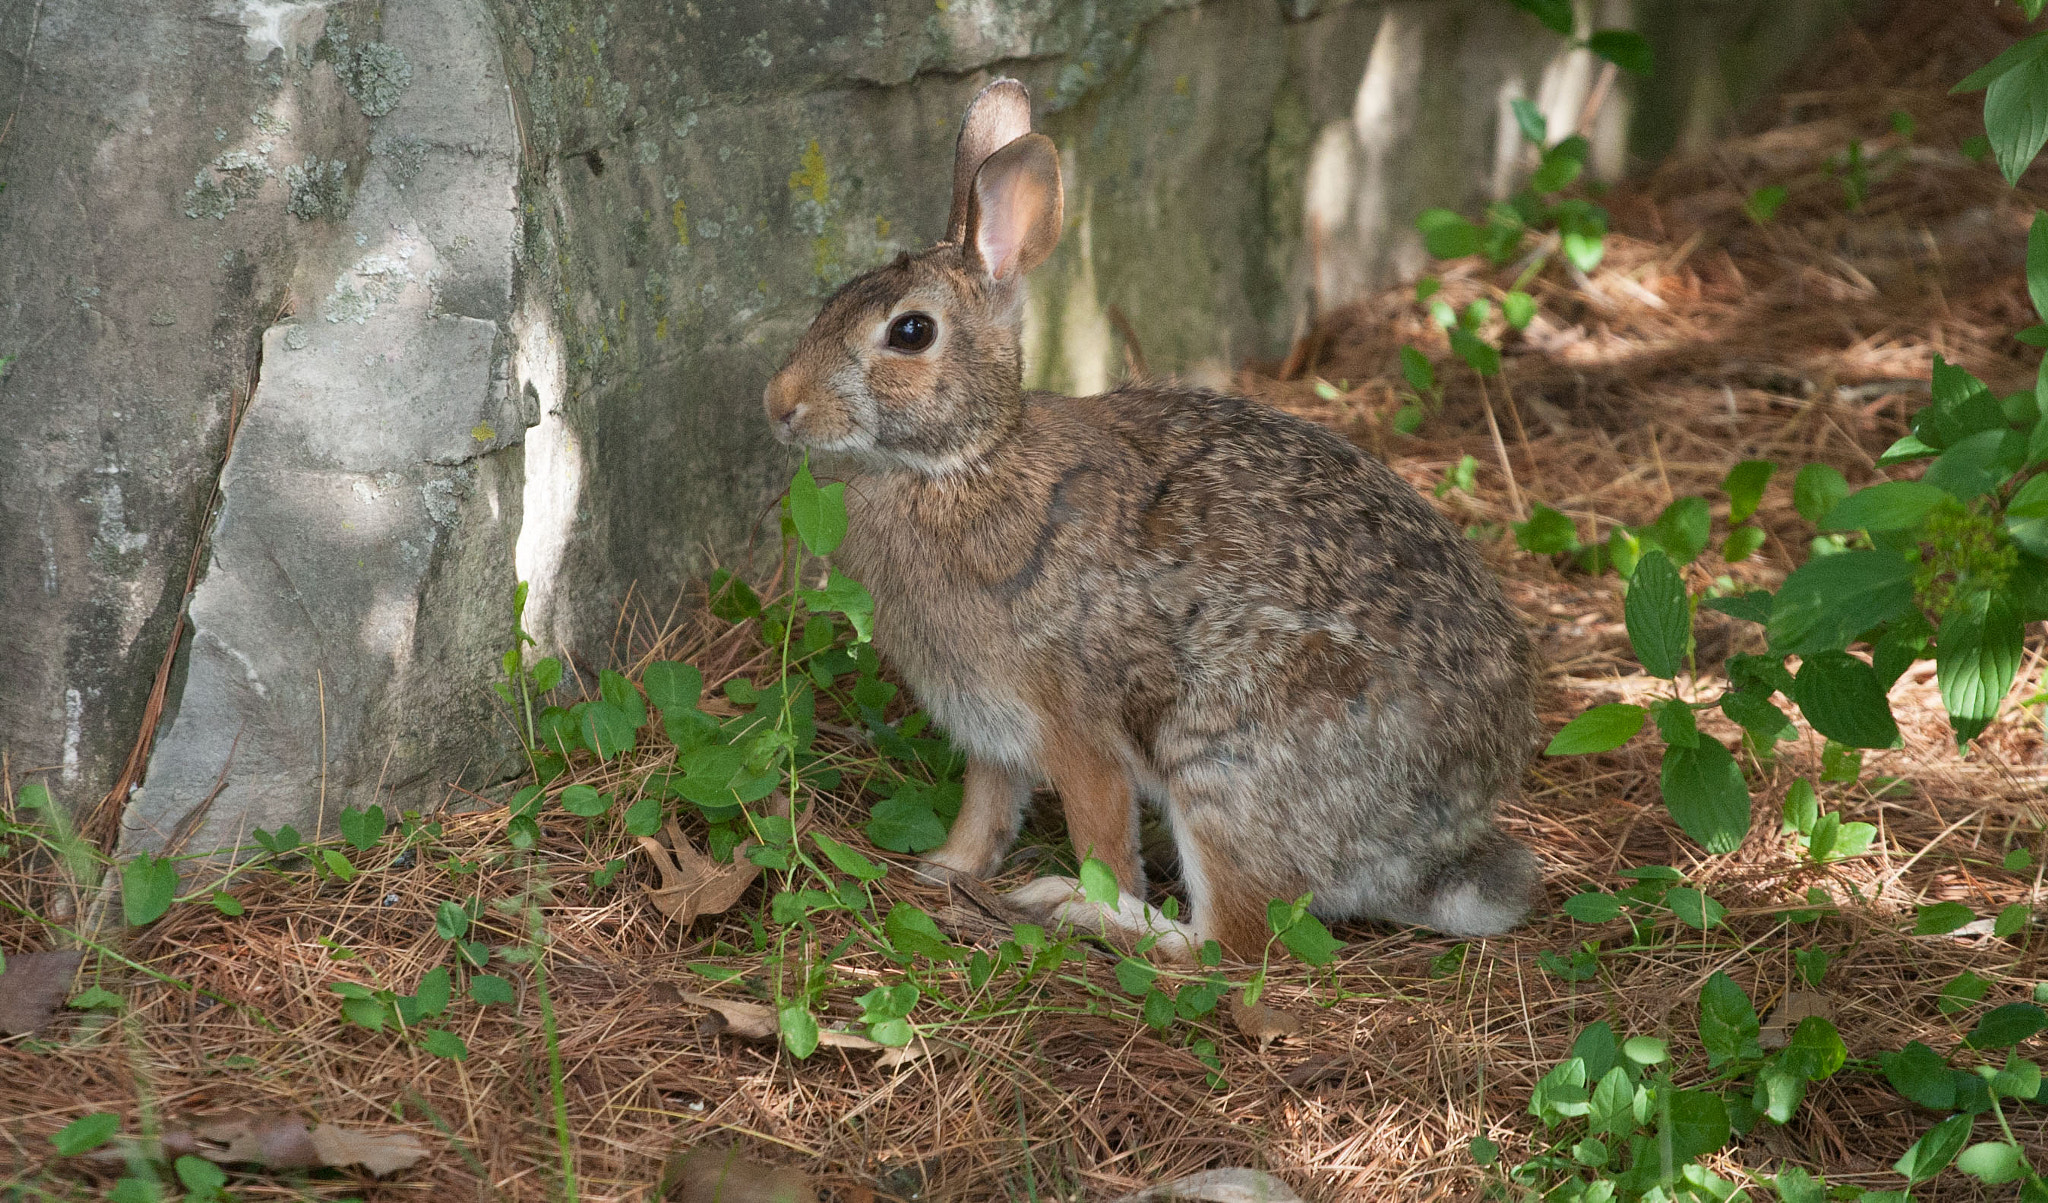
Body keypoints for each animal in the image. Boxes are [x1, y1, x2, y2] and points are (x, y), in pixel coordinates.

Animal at [762, 78, 1543, 961]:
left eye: (911, 331)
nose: (780, 405)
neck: (966, 462)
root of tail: (1435, 843)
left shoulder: (1077, 732)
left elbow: (1103, 838)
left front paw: (1078, 895)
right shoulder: (992, 733)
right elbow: (985, 809)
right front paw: (944, 870)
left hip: (1223, 760)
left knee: (1232, 941)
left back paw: (1085, 914)